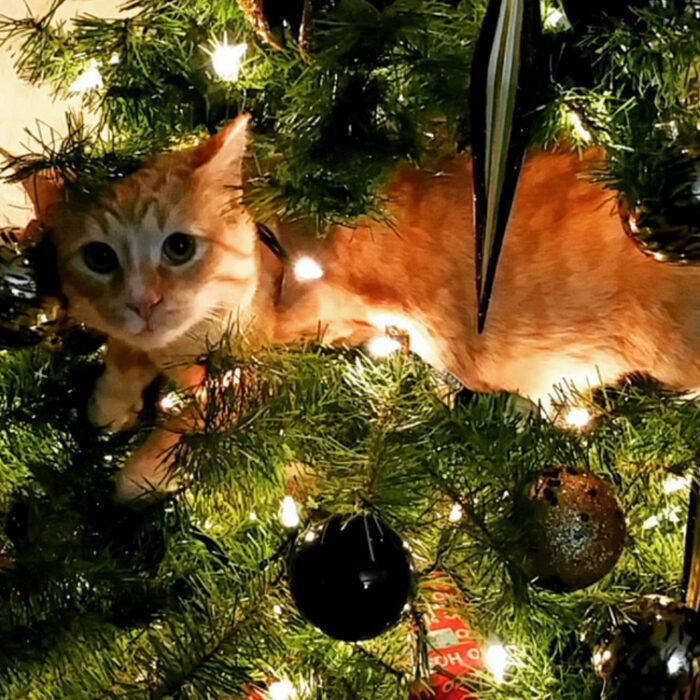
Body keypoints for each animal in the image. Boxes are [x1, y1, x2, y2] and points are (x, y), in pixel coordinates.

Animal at [21, 116, 700, 498]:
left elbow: (210, 408)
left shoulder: (338, 338)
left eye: (179, 247)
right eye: (100, 258)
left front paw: (142, 467)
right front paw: (111, 397)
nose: (145, 302)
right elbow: (123, 349)